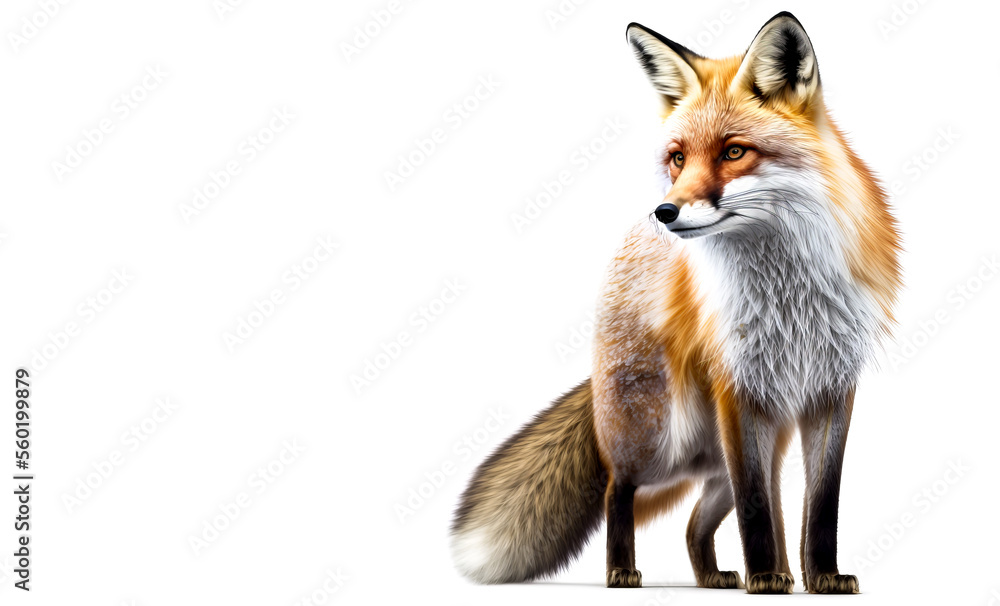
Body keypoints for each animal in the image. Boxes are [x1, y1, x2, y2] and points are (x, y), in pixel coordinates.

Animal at [450, 12, 900, 594]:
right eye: (678, 157)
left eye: (734, 151)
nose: (664, 212)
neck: (789, 295)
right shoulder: (737, 388)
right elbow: (758, 509)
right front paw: (765, 576)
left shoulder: (832, 387)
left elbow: (821, 506)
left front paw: (819, 577)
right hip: (661, 439)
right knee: (617, 487)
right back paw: (623, 570)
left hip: (728, 454)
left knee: (694, 523)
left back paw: (715, 575)